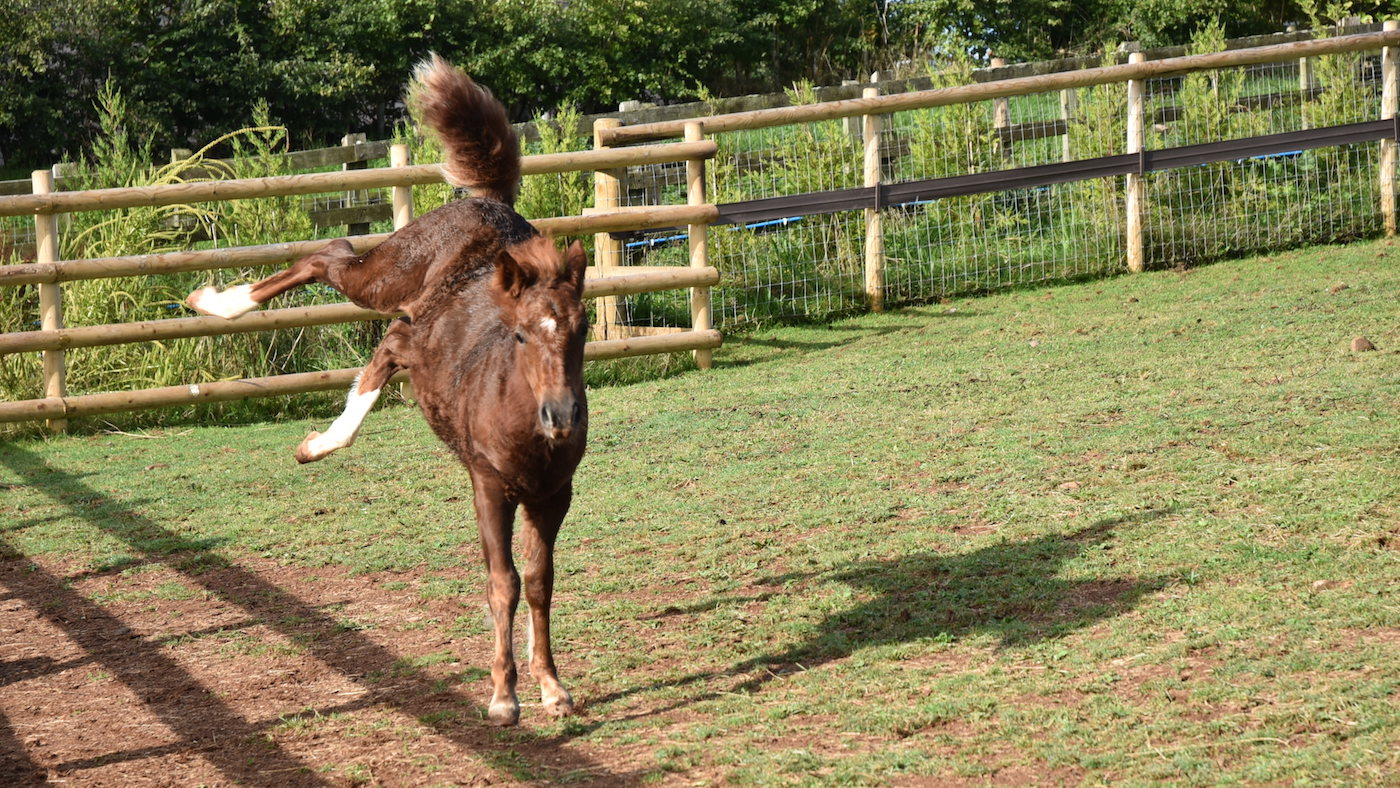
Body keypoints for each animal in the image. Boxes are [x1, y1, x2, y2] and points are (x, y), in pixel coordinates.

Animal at [186, 56, 588, 727]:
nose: (560, 415)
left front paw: (552, 687)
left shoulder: (553, 495)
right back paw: (219, 304)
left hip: (403, 314)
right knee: (334, 261)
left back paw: (315, 436)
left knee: (375, 332)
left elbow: (538, 580)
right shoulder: (489, 486)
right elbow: (502, 582)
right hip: (386, 278)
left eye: (581, 331)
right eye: (521, 335)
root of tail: (485, 204)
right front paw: (503, 696)